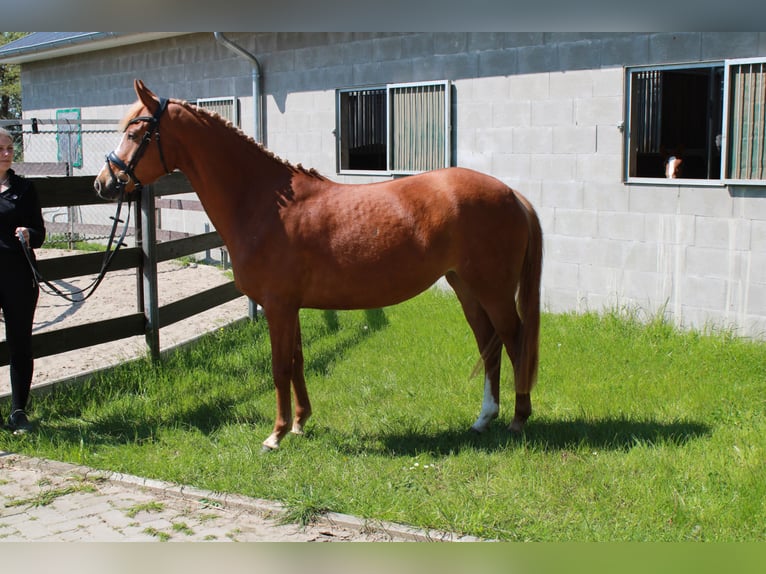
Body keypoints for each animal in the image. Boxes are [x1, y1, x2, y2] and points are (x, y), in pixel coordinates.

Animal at [93, 81, 544, 452]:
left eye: (135, 132)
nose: (103, 183)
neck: (263, 204)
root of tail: (513, 194)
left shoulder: (277, 305)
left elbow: (278, 367)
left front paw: (274, 435)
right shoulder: (290, 306)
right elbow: (296, 361)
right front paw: (299, 424)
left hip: (492, 290)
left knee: (514, 340)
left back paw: (519, 420)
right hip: (467, 287)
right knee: (488, 344)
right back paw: (483, 419)